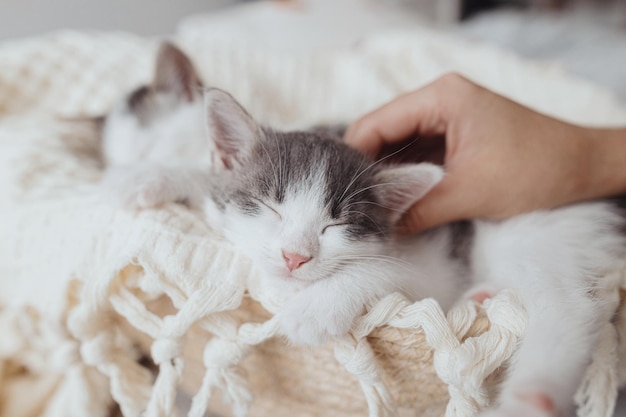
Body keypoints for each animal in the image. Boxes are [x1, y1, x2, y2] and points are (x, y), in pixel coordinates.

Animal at [100, 43, 624, 416]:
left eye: (336, 224)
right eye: (270, 208)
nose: (295, 257)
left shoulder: (431, 257)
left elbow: (383, 271)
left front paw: (315, 308)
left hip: (523, 216)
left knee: (570, 305)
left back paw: (531, 395)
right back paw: (484, 297)